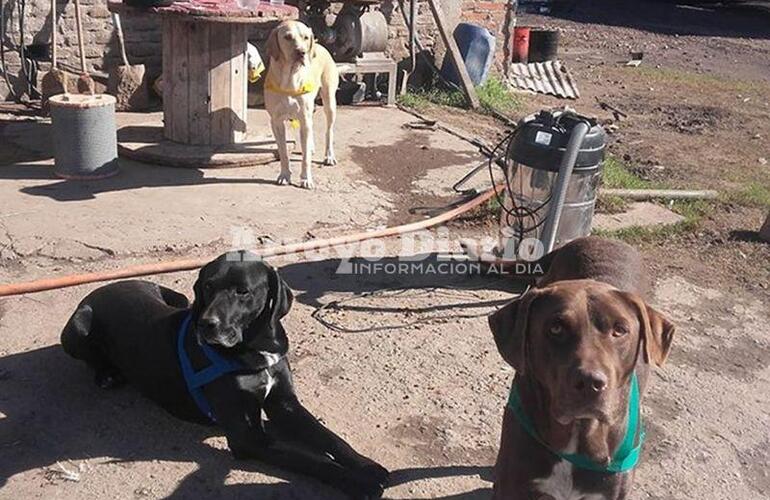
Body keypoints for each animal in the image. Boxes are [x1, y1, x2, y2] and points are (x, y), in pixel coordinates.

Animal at [59, 252, 388, 498]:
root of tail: (101, 288)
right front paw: (359, 483)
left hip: (177, 297)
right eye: (207, 287)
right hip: (78, 326)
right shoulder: (248, 437)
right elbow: (310, 459)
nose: (207, 324)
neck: (254, 349)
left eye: (243, 291)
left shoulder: (284, 404)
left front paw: (367, 466)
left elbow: (329, 439)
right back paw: (107, 375)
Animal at [264, 21, 336, 189]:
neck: (289, 79)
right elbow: (283, 152)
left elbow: (305, 159)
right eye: (287, 37)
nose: (301, 52)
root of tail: (320, 45)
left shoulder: (304, 118)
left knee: (329, 131)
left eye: (305, 37)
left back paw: (329, 156)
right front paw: (284, 175)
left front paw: (306, 179)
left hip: (329, 102)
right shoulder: (276, 122)